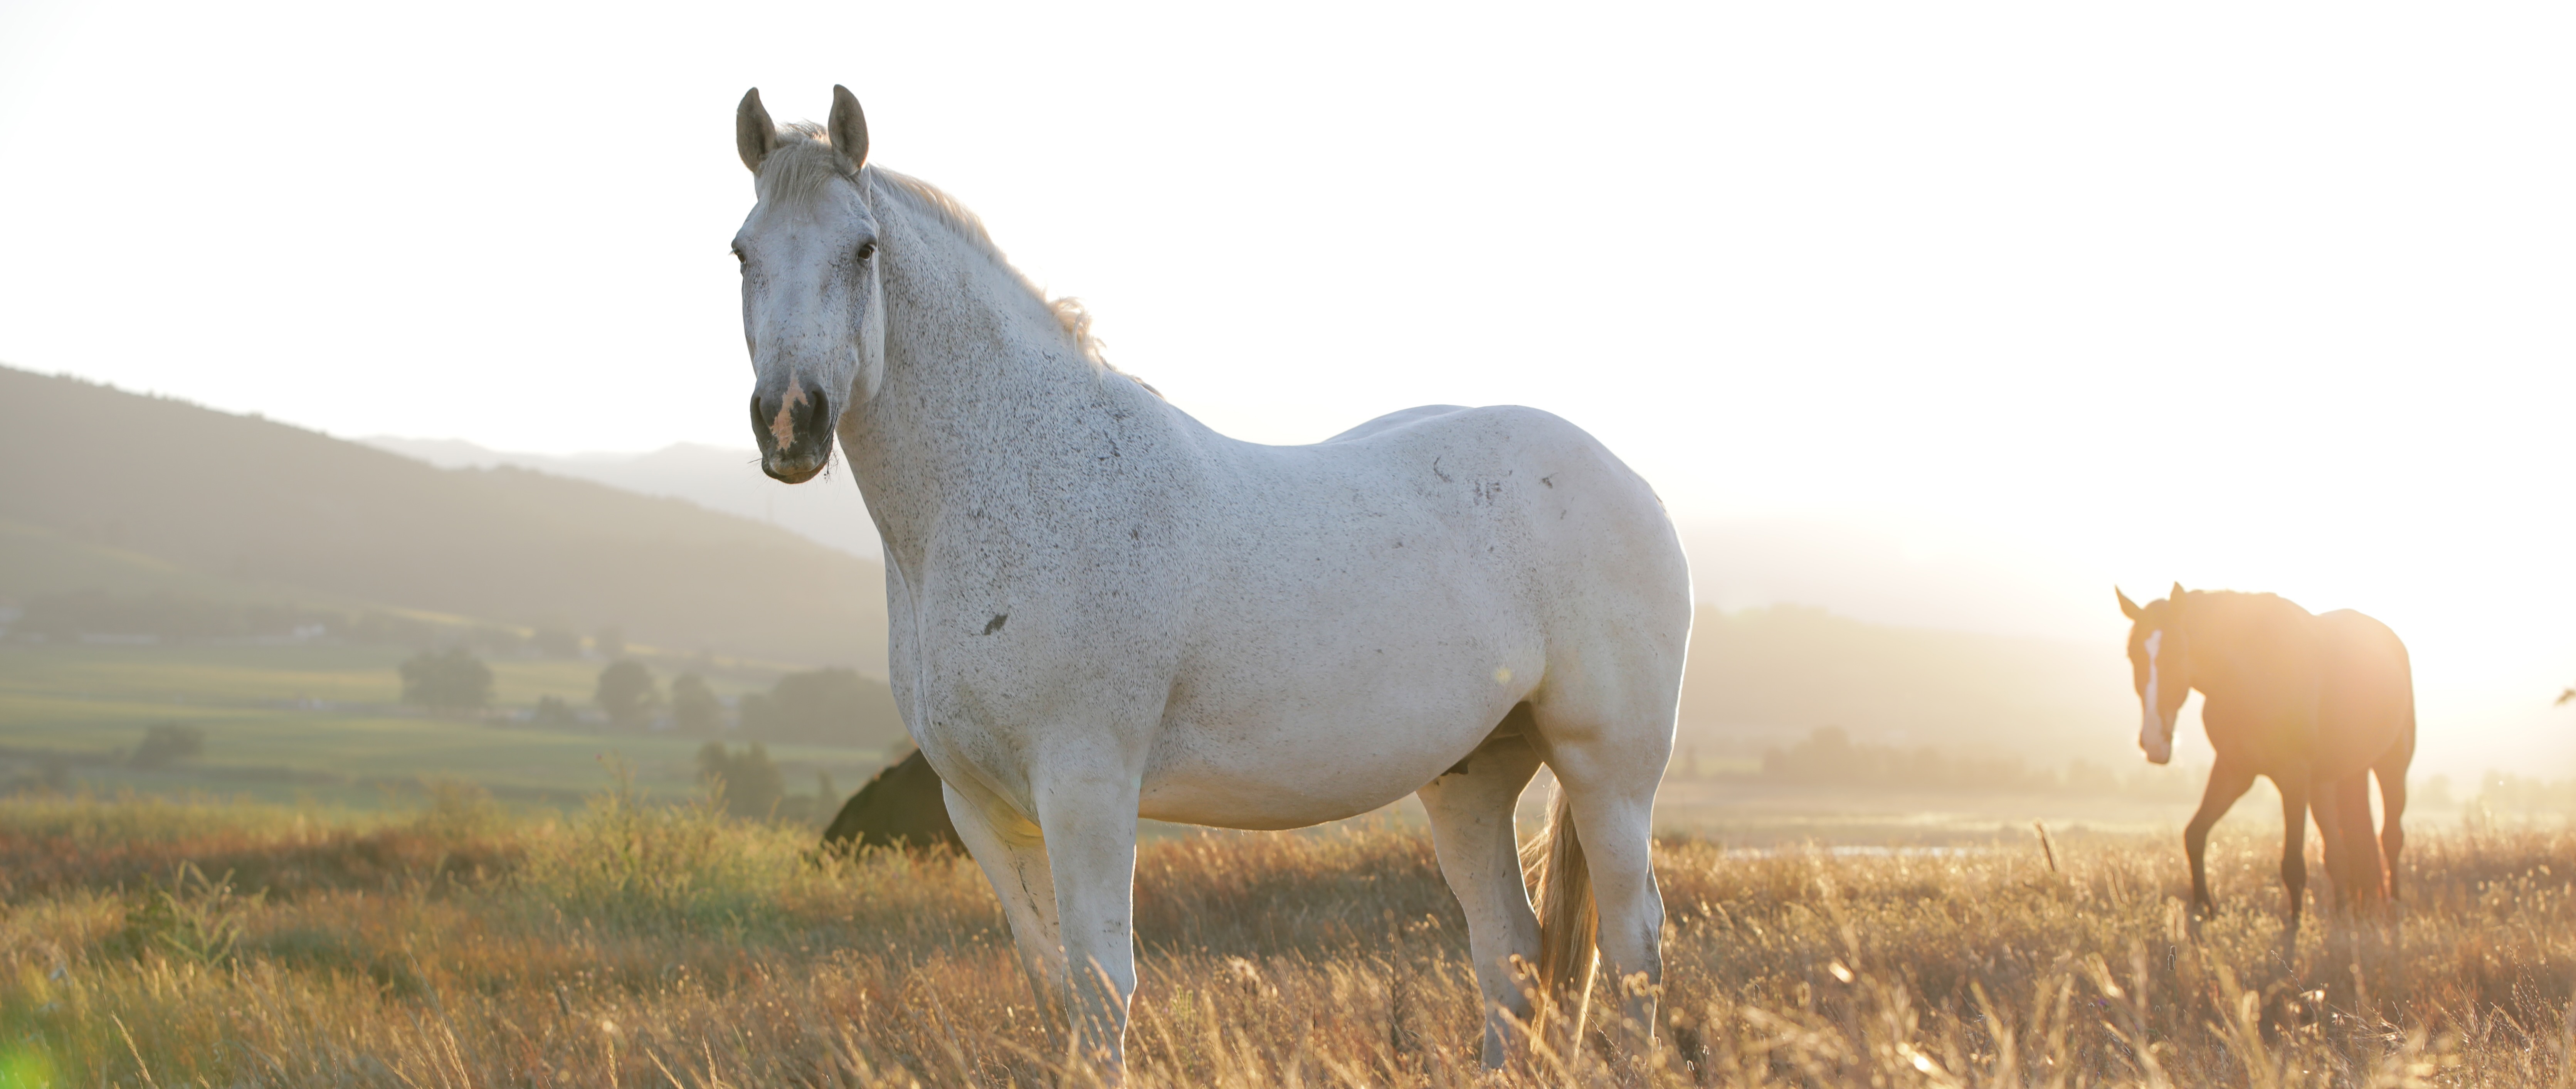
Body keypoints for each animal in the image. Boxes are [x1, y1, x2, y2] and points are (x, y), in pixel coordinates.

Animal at [726, 87, 1692, 1070]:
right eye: (741, 251)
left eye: (862, 248)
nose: (790, 420)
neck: (1016, 479)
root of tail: (1631, 480)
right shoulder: (983, 808)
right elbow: (1051, 988)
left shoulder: (1088, 787)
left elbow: (1101, 989)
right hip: (1471, 776)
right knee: (1509, 952)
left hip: (1607, 769)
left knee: (1633, 943)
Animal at [2117, 584, 2414, 929]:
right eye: (2132, 655)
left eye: (2177, 653)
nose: (2154, 742)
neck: (2252, 674)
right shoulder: (2234, 771)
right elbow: (2195, 835)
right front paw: (2205, 908)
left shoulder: (2294, 777)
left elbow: (2293, 864)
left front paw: (2295, 928)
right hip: (2335, 780)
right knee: (2342, 851)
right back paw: (2347, 913)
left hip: (2392, 765)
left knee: (2391, 838)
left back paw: (2394, 906)